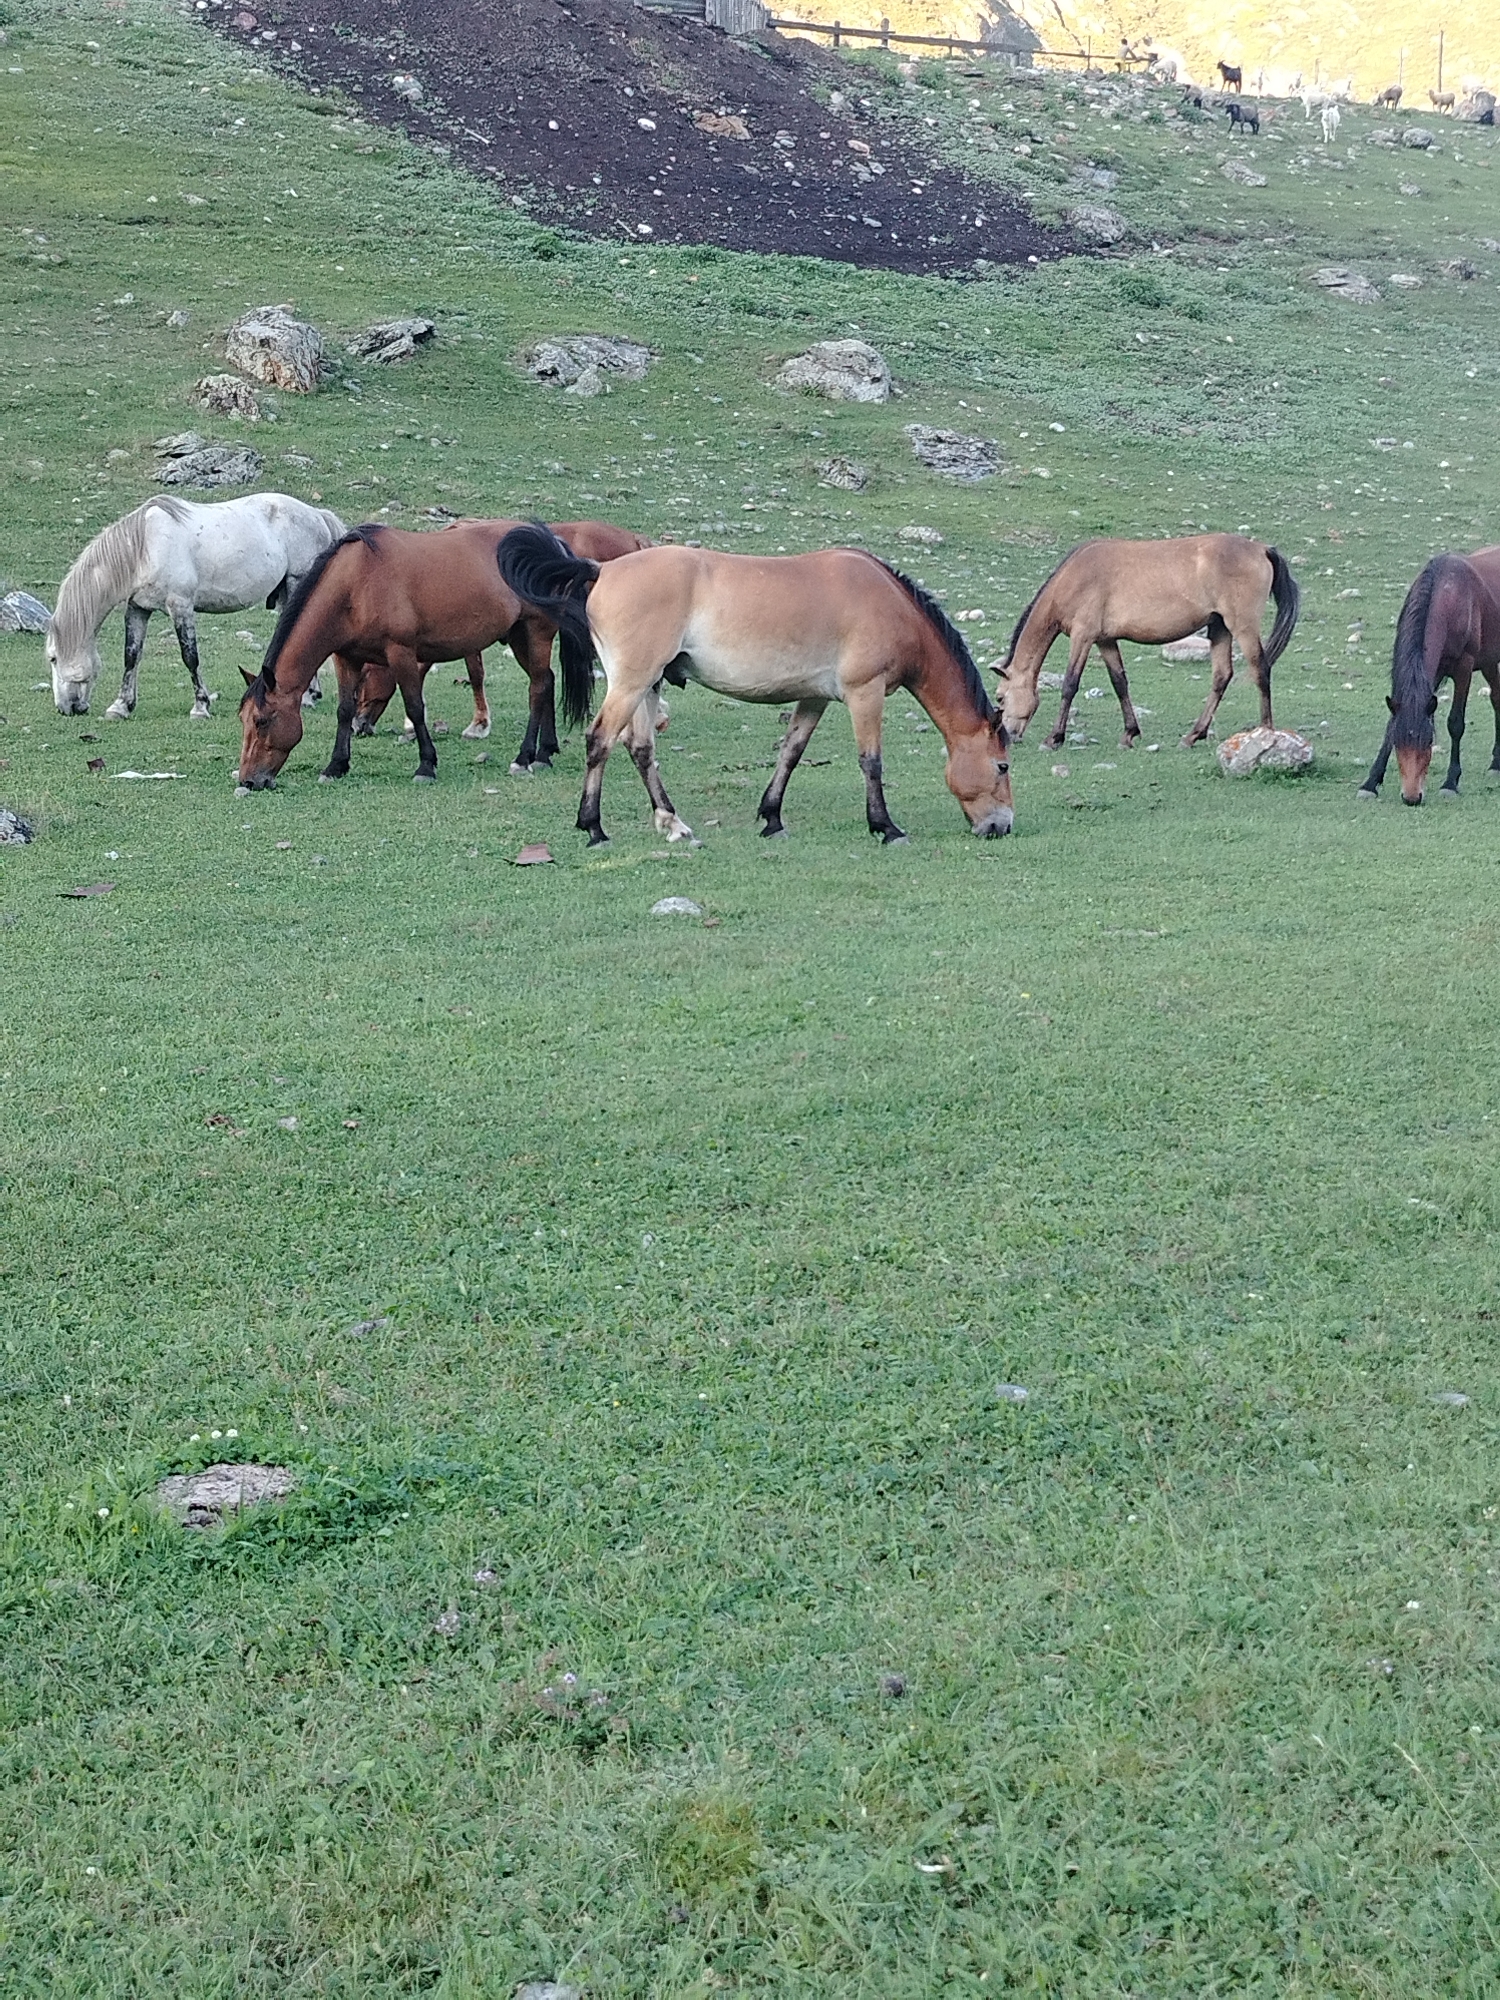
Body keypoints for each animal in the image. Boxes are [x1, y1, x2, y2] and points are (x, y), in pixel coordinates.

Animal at [47, 492, 347, 719]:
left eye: (53, 658)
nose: (65, 708)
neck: (144, 547)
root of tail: (317, 514)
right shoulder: (138, 609)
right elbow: (131, 656)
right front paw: (120, 707)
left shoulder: (180, 605)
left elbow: (190, 657)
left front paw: (201, 706)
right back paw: (311, 694)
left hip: (297, 583)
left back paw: (306, 698)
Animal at [349, 519, 651, 770]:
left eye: (364, 677)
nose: (358, 725)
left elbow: (474, 674)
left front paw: (477, 725)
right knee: (547, 679)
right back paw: (546, 750)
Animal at [493, 524, 1015, 847]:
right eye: (1003, 766)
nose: (1002, 826)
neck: (887, 602)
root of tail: (601, 569)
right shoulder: (864, 694)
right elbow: (871, 762)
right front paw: (885, 827)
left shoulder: (814, 698)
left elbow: (791, 753)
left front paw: (772, 818)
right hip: (631, 682)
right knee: (600, 740)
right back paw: (594, 827)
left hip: (645, 685)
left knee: (640, 749)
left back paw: (673, 822)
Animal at [997, 534, 1300, 750]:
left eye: (1000, 697)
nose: (1009, 737)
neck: (1074, 576)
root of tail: (1261, 549)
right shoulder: (1105, 641)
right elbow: (1119, 682)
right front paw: (1129, 733)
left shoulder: (1083, 637)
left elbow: (1070, 684)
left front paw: (1054, 738)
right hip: (1219, 628)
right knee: (1221, 677)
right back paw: (1193, 735)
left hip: (1242, 626)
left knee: (1260, 669)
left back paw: (1264, 732)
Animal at [1358, 550, 1500, 804]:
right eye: (1399, 743)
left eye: (1429, 742)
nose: (1411, 797)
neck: (1450, 595)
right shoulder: (1429, 676)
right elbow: (1392, 723)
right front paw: (1370, 782)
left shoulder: (1464, 668)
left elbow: (1456, 723)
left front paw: (1450, 783)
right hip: (1489, 661)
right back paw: (1496, 763)